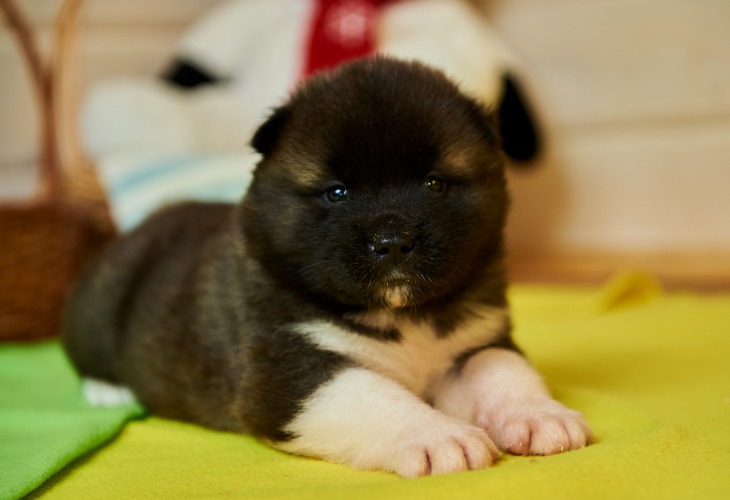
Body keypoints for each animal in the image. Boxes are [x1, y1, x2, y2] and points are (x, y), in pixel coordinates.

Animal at [61, 56, 584, 478]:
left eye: (435, 184)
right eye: (337, 192)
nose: (392, 242)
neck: (403, 316)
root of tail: (147, 222)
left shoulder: (474, 342)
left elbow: (503, 370)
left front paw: (539, 414)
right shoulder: (290, 371)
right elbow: (376, 395)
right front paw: (439, 436)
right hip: (99, 304)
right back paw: (111, 392)